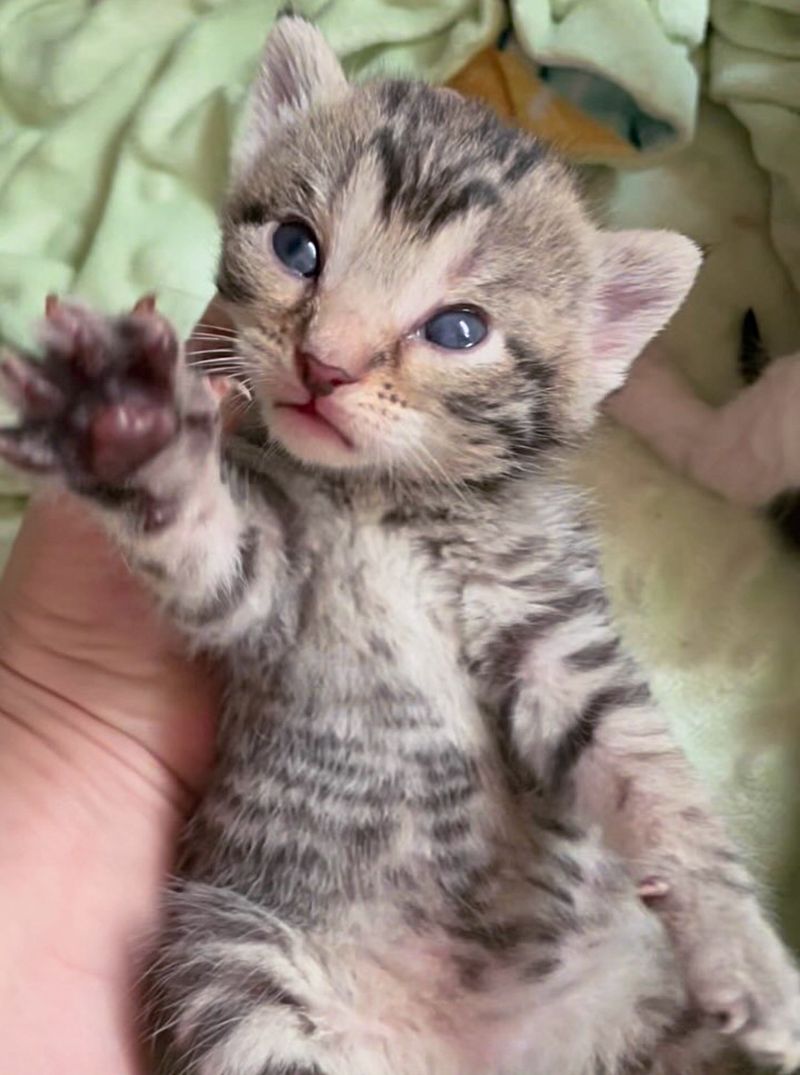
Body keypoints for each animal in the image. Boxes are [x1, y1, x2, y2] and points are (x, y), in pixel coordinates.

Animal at [1, 16, 800, 1075]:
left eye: (458, 328)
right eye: (297, 246)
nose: (324, 364)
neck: (391, 505)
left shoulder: (554, 625)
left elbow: (650, 772)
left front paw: (743, 949)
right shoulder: (271, 587)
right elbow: (208, 542)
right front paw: (128, 424)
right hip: (233, 963)